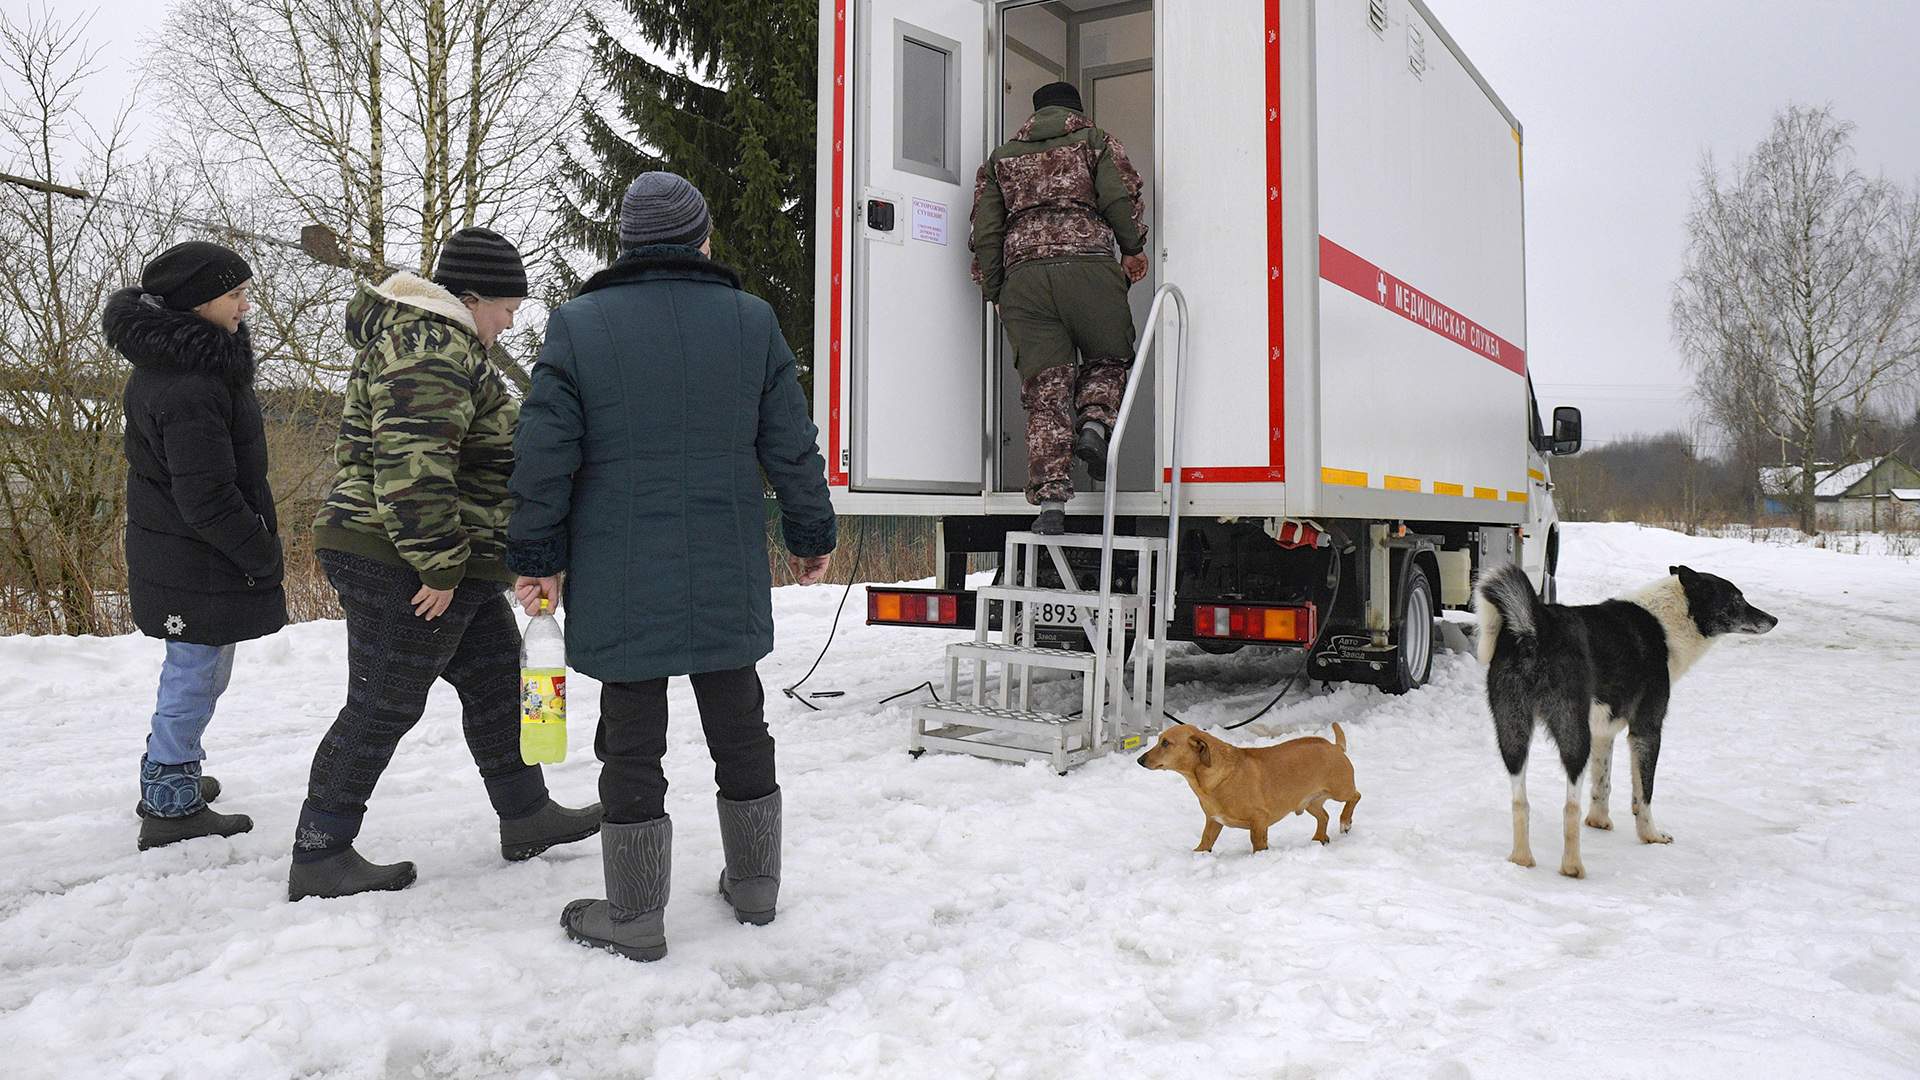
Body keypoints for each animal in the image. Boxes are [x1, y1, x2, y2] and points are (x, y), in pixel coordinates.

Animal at [1136, 722, 1367, 849]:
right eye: (1159, 740)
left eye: (1166, 743)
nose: (1139, 760)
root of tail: (1335, 746)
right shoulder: (1213, 822)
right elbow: (1204, 844)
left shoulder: (1259, 821)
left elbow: (1258, 844)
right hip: (1310, 802)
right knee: (1324, 816)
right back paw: (1319, 838)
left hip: (1340, 789)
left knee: (1355, 796)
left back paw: (1345, 822)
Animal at [1474, 564, 1774, 876]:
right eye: (1737, 599)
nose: (1774, 619)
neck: (1671, 620)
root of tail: (1534, 626)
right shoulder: (1647, 730)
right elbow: (1644, 793)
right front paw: (1651, 835)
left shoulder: (1603, 733)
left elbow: (1603, 784)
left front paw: (1598, 821)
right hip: (1574, 736)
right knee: (1570, 807)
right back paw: (1572, 866)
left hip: (1513, 734)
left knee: (1520, 801)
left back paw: (1521, 859)